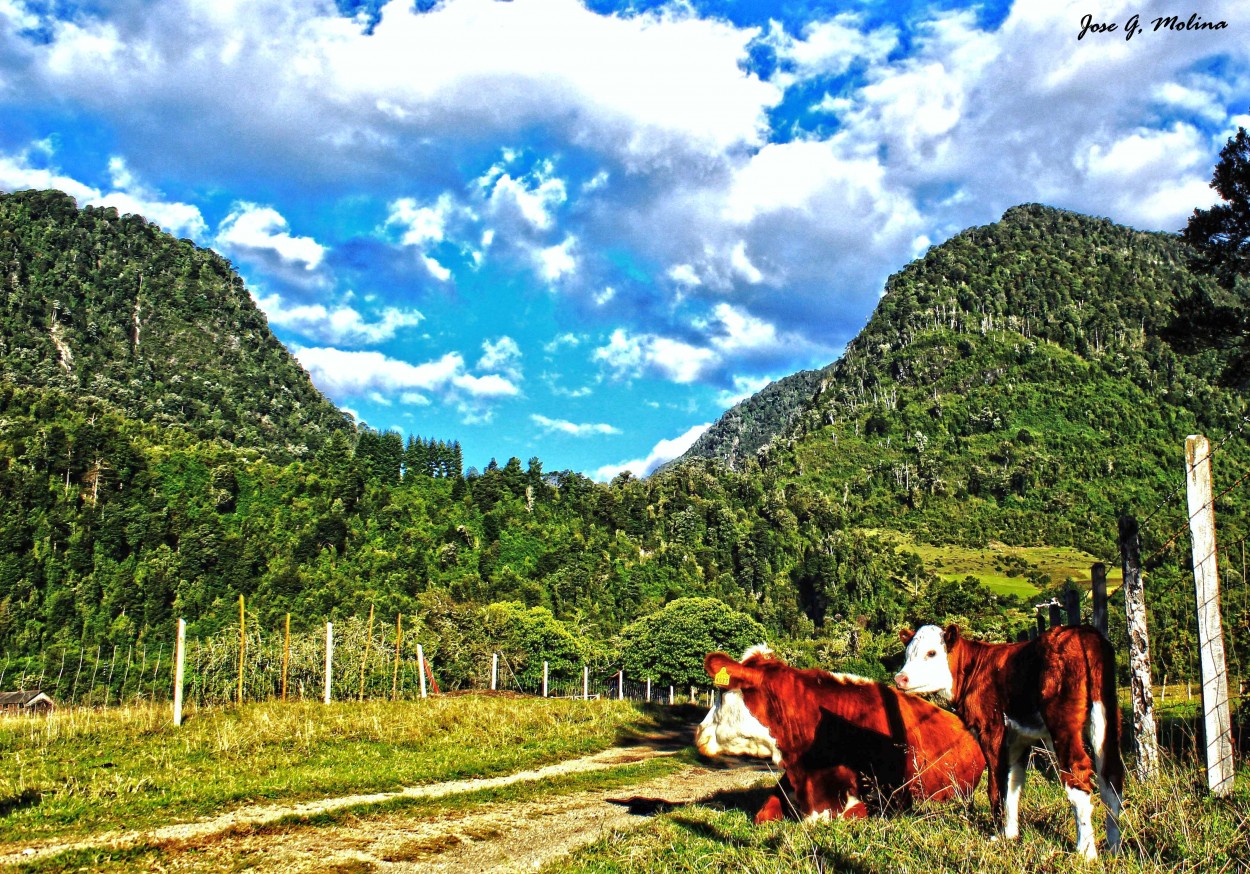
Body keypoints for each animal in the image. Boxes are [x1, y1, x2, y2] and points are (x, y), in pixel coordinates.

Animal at [900, 622, 1125, 860]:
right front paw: (1010, 834)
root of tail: (1082, 631)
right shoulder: (1017, 738)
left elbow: (996, 784)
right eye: (907, 654)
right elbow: (1013, 783)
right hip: (1107, 714)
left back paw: (1085, 852)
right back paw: (1113, 846)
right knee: (1110, 776)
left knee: (1078, 774)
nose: (900, 678)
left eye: (932, 653)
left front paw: (999, 835)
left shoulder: (991, 729)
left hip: (1063, 723)